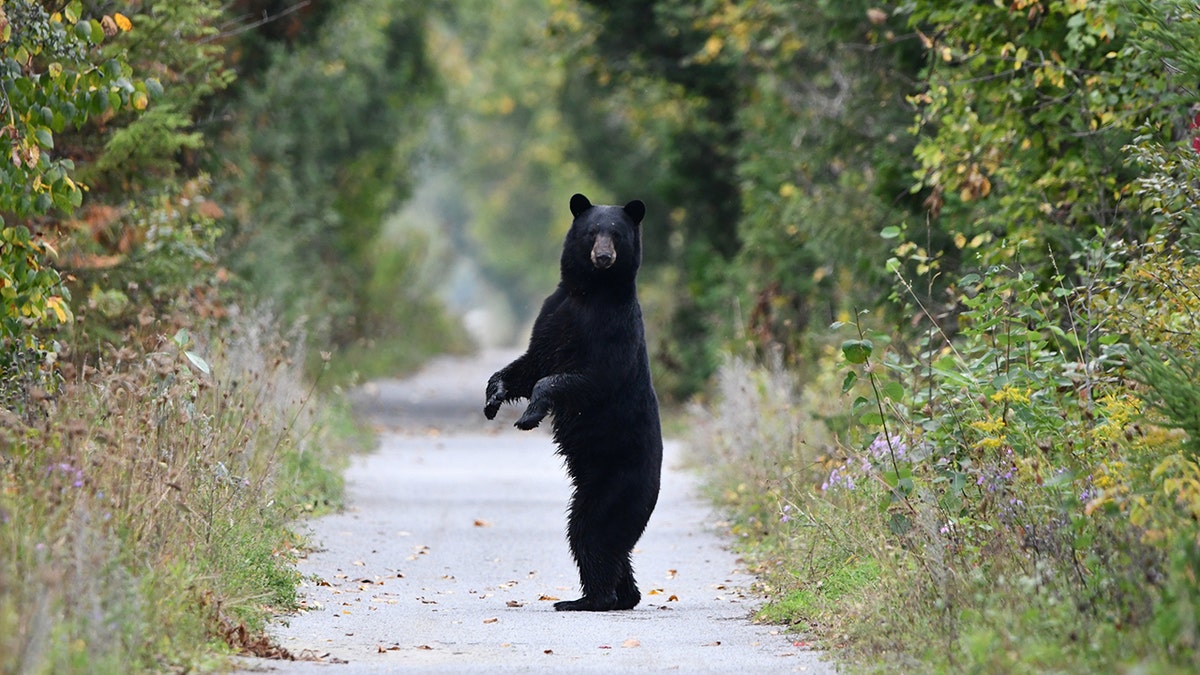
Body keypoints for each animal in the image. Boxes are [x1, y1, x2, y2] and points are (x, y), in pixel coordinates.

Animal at [482, 190, 662, 610]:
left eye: (616, 234)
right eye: (592, 232)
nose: (604, 256)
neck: (590, 292)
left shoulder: (613, 330)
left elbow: (582, 377)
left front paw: (529, 415)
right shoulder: (553, 312)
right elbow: (529, 364)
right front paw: (494, 397)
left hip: (618, 484)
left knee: (593, 534)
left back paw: (588, 599)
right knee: (603, 541)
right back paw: (624, 594)